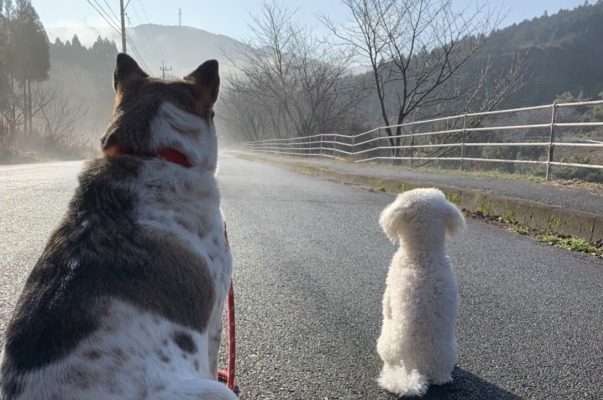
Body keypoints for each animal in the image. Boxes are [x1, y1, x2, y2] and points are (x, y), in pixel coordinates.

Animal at [378, 188, 468, 396]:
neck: (423, 254)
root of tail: (414, 369)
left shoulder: (388, 298)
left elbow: (386, 308)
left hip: (385, 341)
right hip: (450, 352)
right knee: (442, 377)